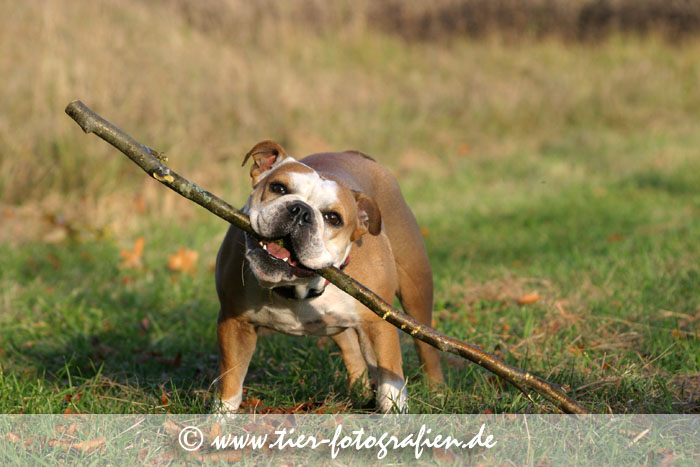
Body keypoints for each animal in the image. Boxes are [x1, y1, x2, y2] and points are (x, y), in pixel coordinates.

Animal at [215, 140, 442, 414]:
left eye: (333, 218)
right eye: (278, 187)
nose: (299, 210)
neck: (297, 287)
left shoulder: (379, 326)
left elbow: (391, 385)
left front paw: (394, 417)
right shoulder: (235, 324)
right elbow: (231, 383)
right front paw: (220, 419)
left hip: (415, 288)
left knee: (427, 347)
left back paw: (437, 392)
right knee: (351, 348)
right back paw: (358, 391)